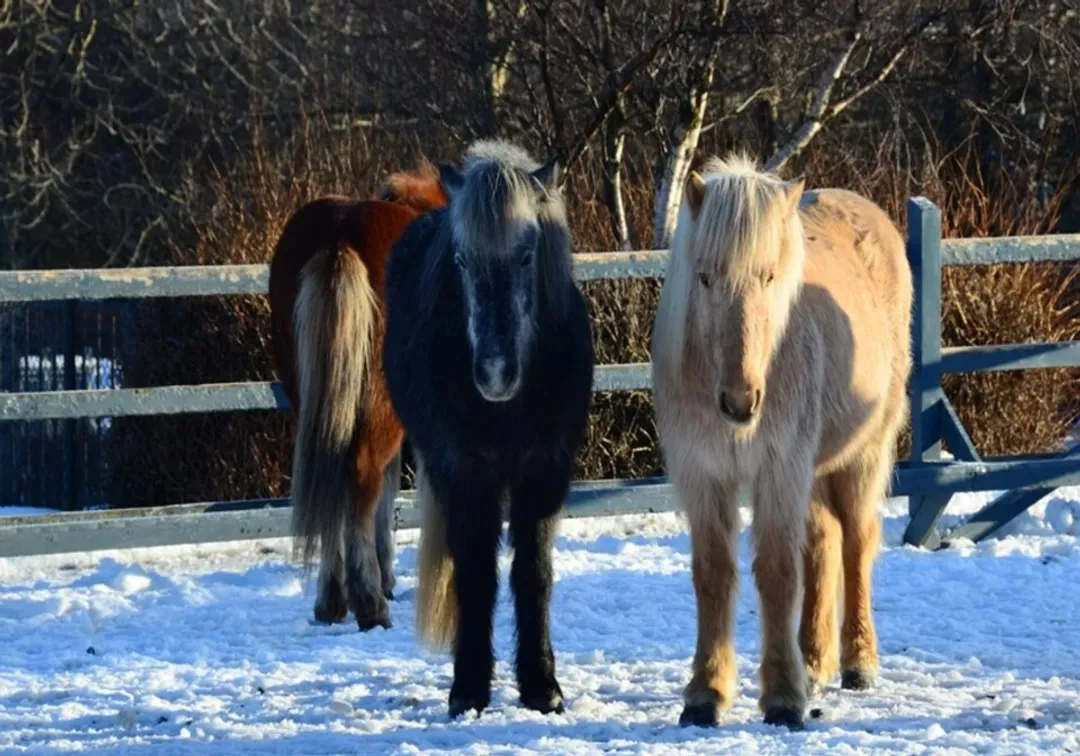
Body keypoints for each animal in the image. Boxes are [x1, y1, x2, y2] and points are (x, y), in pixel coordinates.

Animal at [382, 139, 595, 718]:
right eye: (461, 259)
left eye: (526, 254)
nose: (496, 373)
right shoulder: (463, 472)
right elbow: (476, 573)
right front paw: (470, 688)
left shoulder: (544, 471)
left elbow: (532, 573)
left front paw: (542, 686)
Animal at [651, 154, 913, 730]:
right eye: (704, 277)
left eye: (769, 276)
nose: (739, 401)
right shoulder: (703, 474)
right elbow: (713, 573)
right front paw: (705, 693)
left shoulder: (777, 470)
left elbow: (776, 572)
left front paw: (783, 699)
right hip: (811, 470)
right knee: (825, 542)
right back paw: (813, 661)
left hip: (860, 456)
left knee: (856, 542)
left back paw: (858, 662)